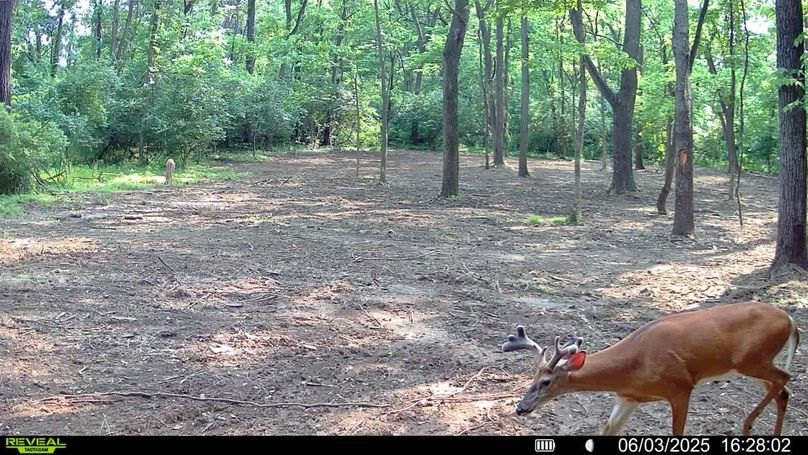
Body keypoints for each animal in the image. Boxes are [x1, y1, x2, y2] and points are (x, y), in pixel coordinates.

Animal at [502, 301, 800, 435]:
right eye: (532, 378)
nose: (521, 408)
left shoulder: (681, 387)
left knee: (785, 377)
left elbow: (677, 433)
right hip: (751, 365)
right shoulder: (628, 397)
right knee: (783, 391)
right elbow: (606, 430)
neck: (636, 367)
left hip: (753, 359)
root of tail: (791, 321)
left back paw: (747, 425)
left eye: (546, 382)